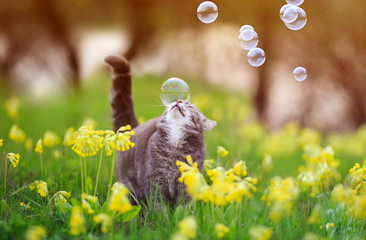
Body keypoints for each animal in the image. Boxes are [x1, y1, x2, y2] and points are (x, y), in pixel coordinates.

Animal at [104, 55, 216, 203]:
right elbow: (158, 205)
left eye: (190, 106)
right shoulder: (154, 181)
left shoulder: (187, 182)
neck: (175, 143)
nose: (178, 101)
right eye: (173, 103)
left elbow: (185, 205)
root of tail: (133, 128)